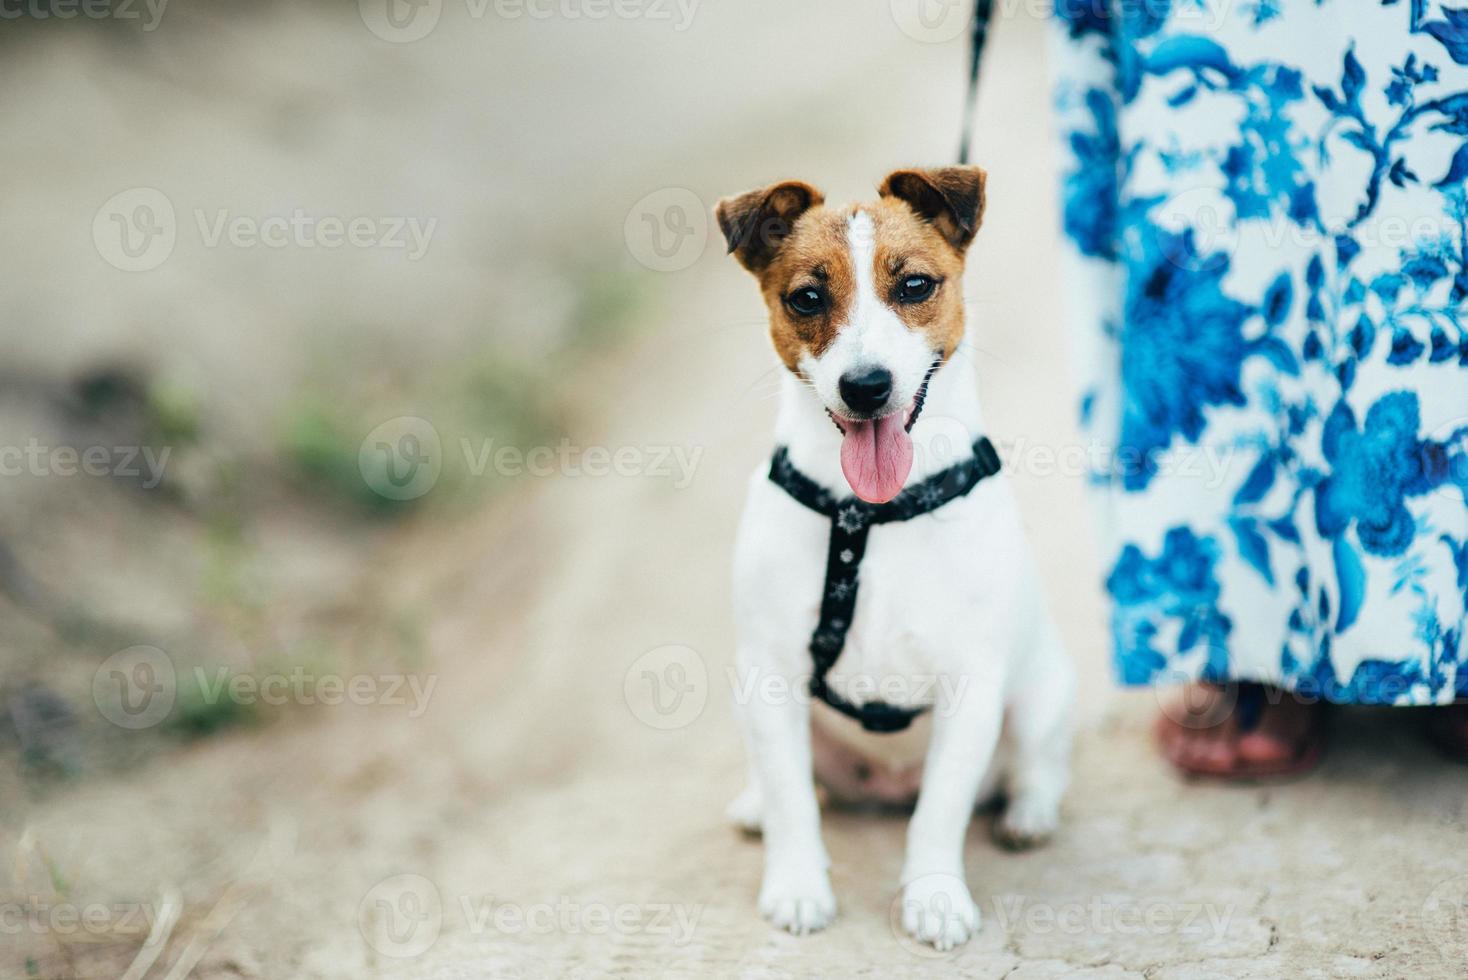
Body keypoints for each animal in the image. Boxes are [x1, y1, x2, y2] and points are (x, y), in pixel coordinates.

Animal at [722, 166, 1080, 950]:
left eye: (915, 285)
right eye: (807, 298)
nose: (867, 386)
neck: (870, 514)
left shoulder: (970, 685)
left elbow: (940, 812)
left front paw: (934, 896)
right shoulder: (770, 674)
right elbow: (794, 801)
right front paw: (797, 885)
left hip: (1041, 694)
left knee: (1036, 763)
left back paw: (1030, 813)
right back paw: (754, 802)